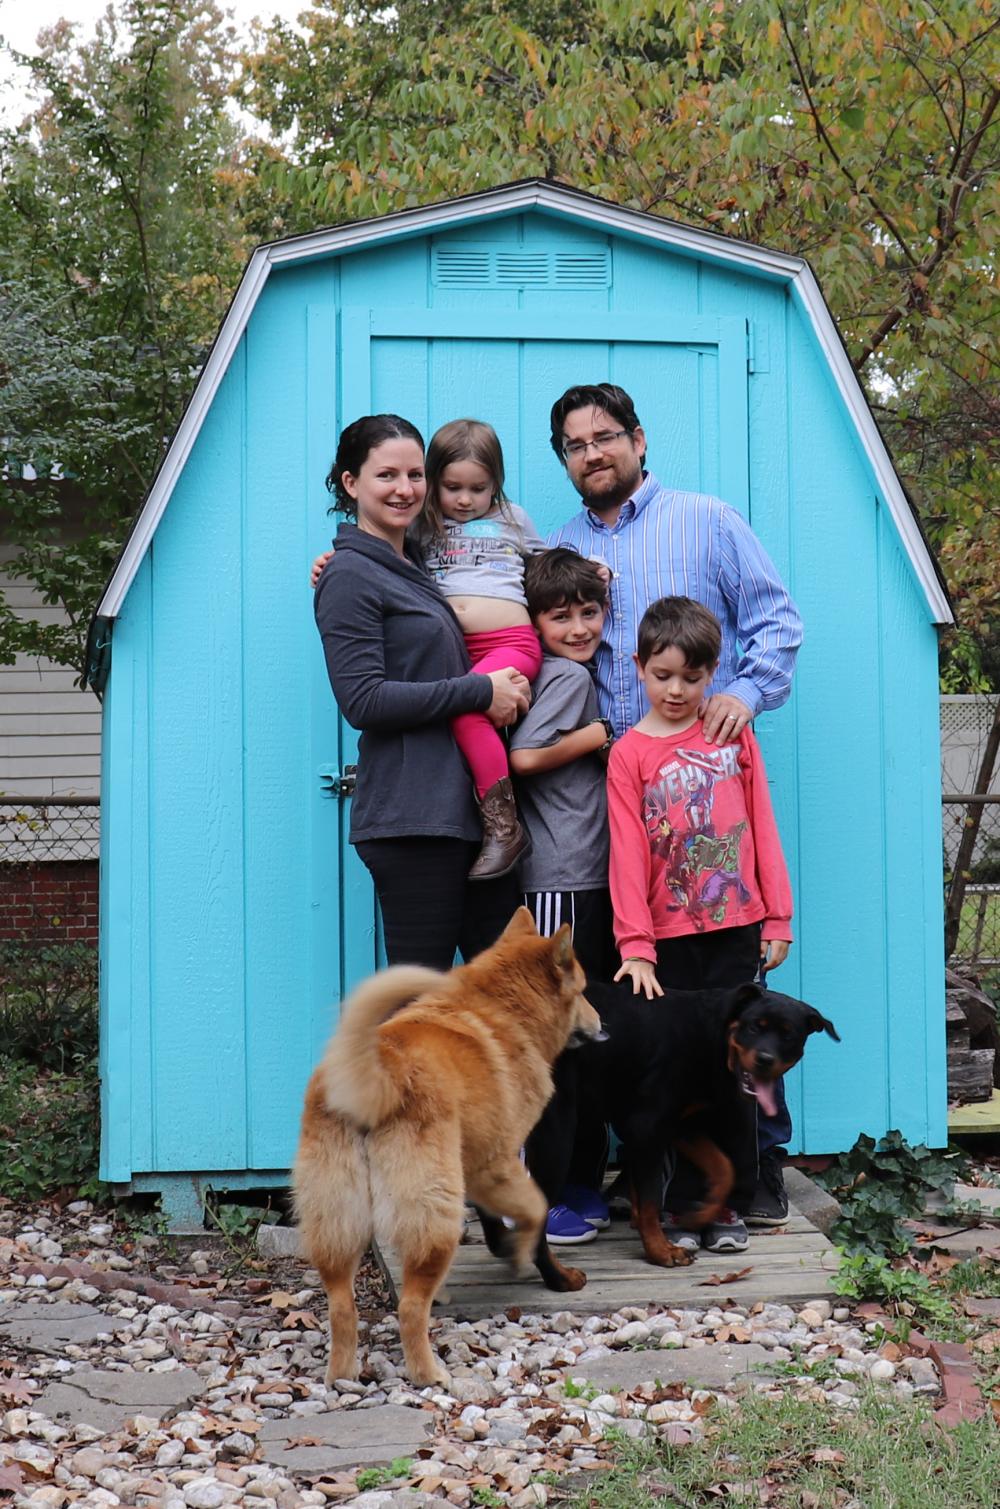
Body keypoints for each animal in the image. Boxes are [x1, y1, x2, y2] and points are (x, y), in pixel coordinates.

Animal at [295, 905, 603, 1388]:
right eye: (584, 991)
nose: (602, 1024)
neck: (498, 1009)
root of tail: (379, 1077)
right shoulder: (498, 1163)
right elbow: (536, 1212)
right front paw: (540, 1266)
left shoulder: (476, 1168)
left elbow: (496, 1220)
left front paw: (504, 1249)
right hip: (433, 1214)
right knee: (408, 1308)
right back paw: (429, 1373)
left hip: (337, 1222)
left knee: (342, 1308)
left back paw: (342, 1375)